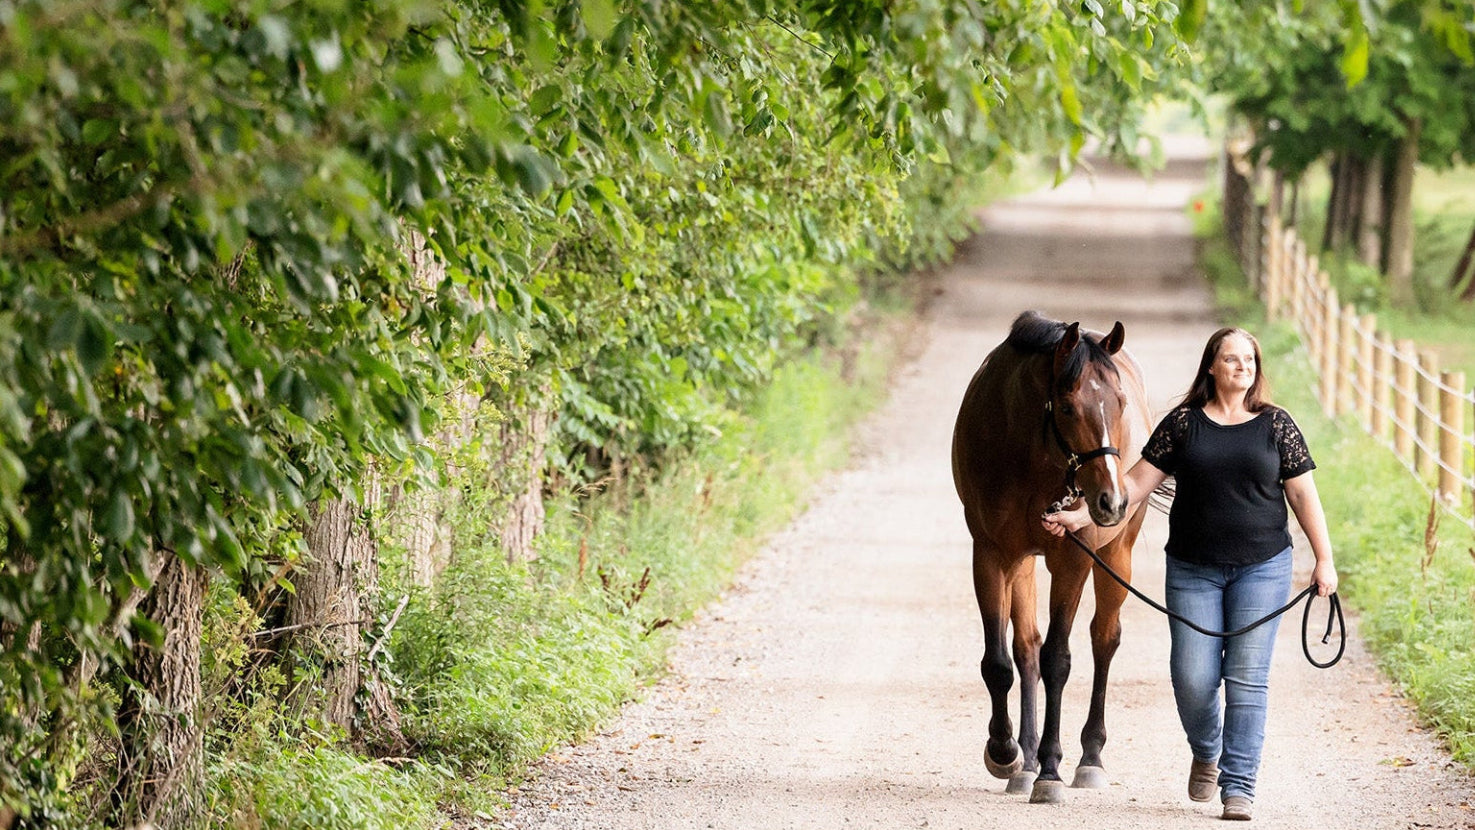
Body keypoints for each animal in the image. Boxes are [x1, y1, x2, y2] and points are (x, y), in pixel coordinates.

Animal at [951, 310, 1151, 804]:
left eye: (1119, 402)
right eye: (1067, 408)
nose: (1111, 500)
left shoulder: (1072, 561)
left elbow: (1057, 661)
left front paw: (1050, 770)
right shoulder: (991, 554)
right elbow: (1000, 661)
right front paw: (1005, 752)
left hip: (1116, 556)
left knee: (1104, 639)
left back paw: (1089, 758)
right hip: (1022, 563)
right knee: (1025, 648)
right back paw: (1023, 760)